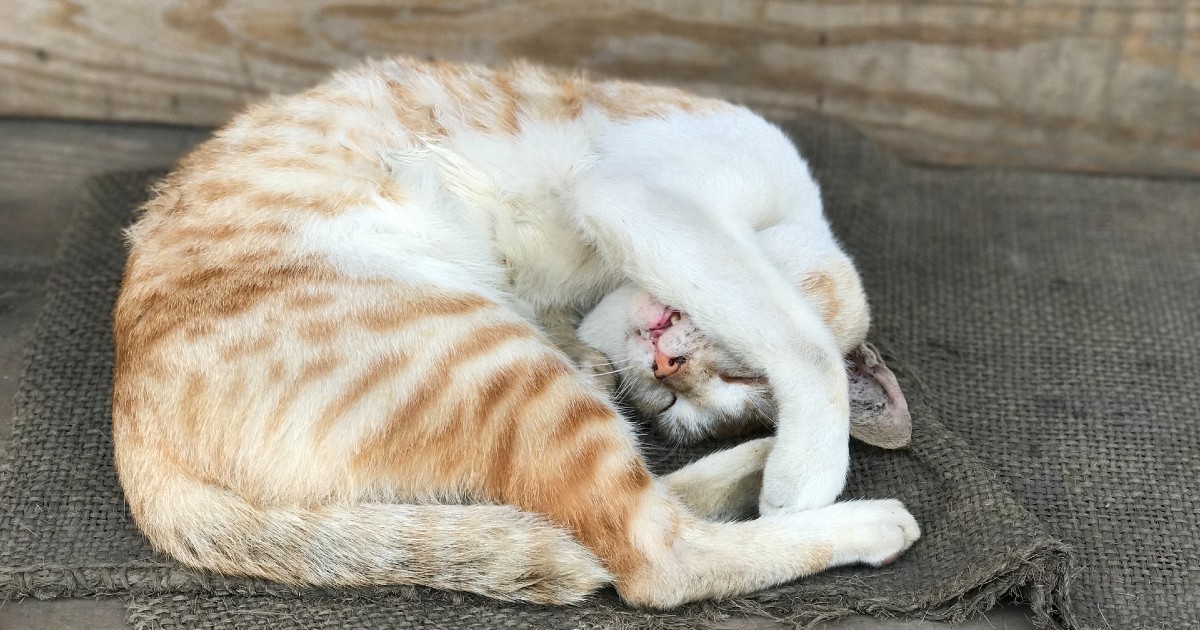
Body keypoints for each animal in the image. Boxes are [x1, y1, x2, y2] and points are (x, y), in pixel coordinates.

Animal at [112, 56, 916, 607]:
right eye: (737, 371)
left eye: (687, 407)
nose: (666, 368)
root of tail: (133, 435)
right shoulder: (646, 197)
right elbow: (805, 341)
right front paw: (808, 471)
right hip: (493, 360)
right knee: (652, 559)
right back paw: (857, 517)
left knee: (616, 516)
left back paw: (758, 463)